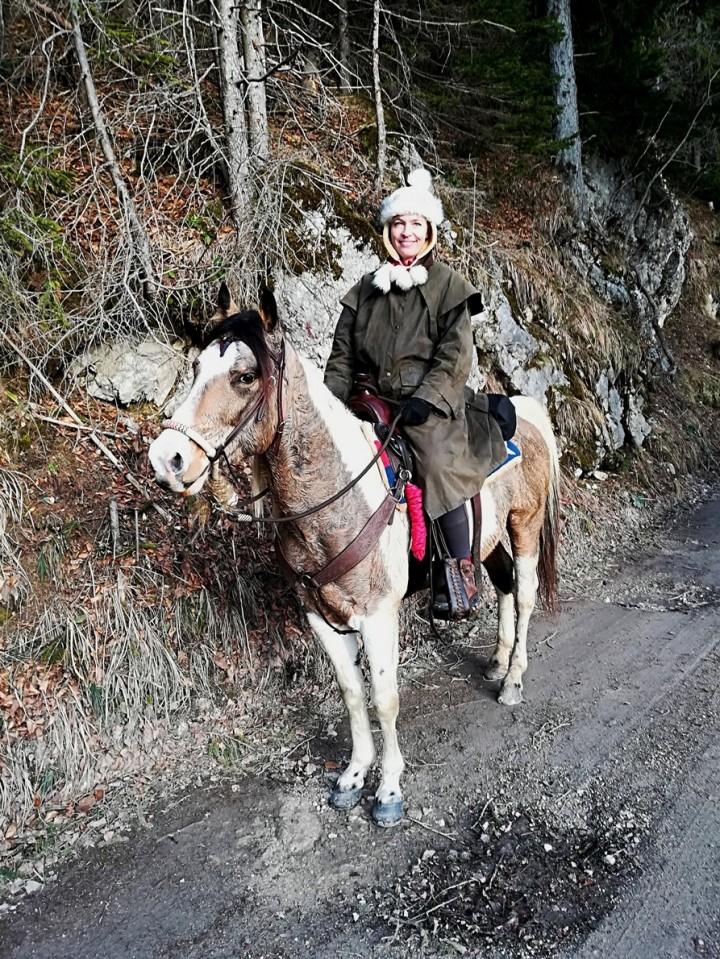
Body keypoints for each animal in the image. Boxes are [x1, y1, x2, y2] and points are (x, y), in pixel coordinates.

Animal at [149, 284, 560, 824]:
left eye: (244, 376)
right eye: (197, 368)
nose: (167, 460)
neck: (336, 496)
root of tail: (523, 411)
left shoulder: (379, 615)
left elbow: (384, 698)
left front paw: (388, 789)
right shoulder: (320, 618)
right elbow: (351, 694)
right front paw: (353, 774)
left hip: (524, 525)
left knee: (527, 594)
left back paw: (512, 679)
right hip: (488, 542)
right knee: (507, 585)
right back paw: (496, 661)